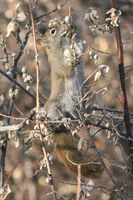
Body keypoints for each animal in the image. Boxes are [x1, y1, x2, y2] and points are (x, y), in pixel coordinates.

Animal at [38, 16, 103, 178]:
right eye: (53, 31)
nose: (66, 23)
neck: (65, 46)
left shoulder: (77, 51)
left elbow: (80, 50)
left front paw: (76, 35)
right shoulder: (58, 64)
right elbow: (66, 70)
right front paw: (72, 63)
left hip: (75, 106)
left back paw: (81, 117)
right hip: (56, 107)